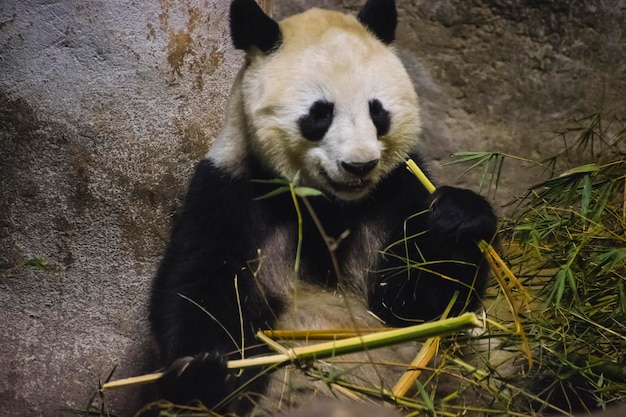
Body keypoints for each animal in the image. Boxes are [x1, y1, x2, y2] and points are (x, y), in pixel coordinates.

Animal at [147, 0, 498, 412]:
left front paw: (457, 218)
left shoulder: (397, 191)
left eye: (377, 111)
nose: (359, 165)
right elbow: (201, 290)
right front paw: (203, 373)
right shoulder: (228, 193)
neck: (330, 204)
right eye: (320, 113)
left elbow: (427, 305)